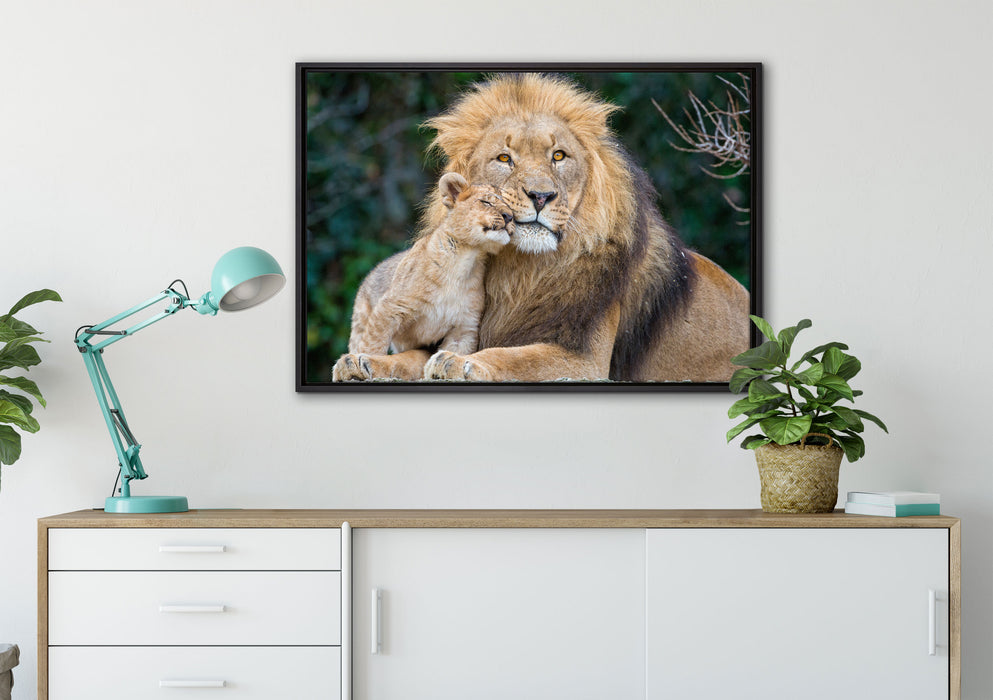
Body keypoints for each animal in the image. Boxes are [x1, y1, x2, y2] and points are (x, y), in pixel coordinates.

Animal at [332, 172, 514, 382]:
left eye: (511, 209)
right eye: (486, 202)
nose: (509, 217)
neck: (467, 259)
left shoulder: (464, 327)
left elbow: (452, 353)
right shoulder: (389, 308)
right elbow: (373, 344)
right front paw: (362, 362)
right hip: (361, 318)